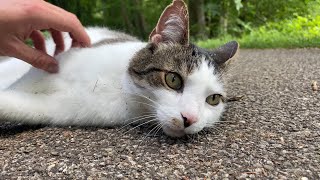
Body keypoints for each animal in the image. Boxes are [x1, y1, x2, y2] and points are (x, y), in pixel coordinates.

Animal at [0, 0, 238, 137]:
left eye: (213, 99)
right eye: (173, 80)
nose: (190, 119)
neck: (119, 87)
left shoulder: (59, 109)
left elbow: (15, 104)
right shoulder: (46, 70)